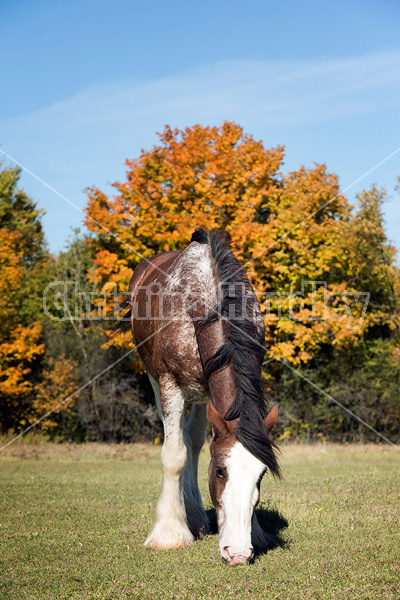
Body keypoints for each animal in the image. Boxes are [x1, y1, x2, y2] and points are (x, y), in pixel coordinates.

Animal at [114, 227, 280, 564]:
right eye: (220, 471)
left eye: (260, 476)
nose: (238, 552)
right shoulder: (169, 385)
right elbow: (173, 455)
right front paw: (169, 533)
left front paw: (255, 532)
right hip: (155, 379)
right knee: (179, 441)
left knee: (192, 440)